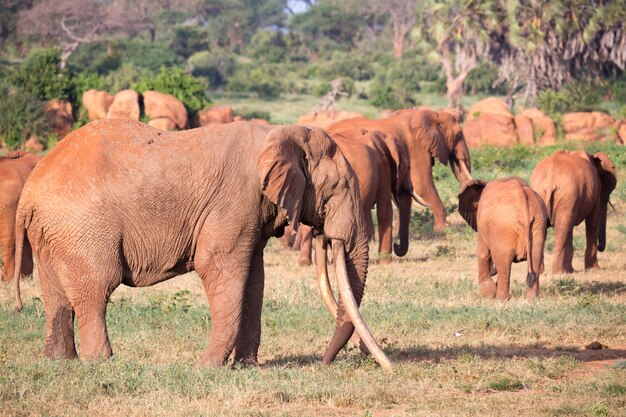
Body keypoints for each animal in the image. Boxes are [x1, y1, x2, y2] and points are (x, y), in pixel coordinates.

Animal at [13, 118, 390, 368]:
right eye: (339, 187)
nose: (326, 363)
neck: (282, 133)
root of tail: (30, 192)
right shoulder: (234, 201)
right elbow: (219, 268)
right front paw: (208, 368)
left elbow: (253, 280)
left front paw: (246, 367)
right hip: (82, 228)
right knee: (96, 289)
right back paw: (102, 363)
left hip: (52, 232)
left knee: (56, 297)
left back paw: (61, 362)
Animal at [288, 127, 426, 264]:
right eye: (406, 167)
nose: (397, 245)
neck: (385, 139)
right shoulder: (383, 170)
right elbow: (385, 211)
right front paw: (386, 263)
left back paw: (309, 262)